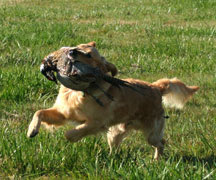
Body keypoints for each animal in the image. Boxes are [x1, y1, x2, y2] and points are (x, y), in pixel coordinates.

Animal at [27, 41, 199, 159]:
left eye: (88, 55)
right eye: (78, 46)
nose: (71, 51)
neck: (80, 90)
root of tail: (156, 87)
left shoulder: (97, 123)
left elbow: (72, 132)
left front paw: (72, 136)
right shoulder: (63, 113)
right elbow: (39, 112)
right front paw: (32, 130)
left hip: (151, 133)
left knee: (161, 143)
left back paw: (156, 160)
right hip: (116, 133)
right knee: (115, 148)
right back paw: (111, 159)